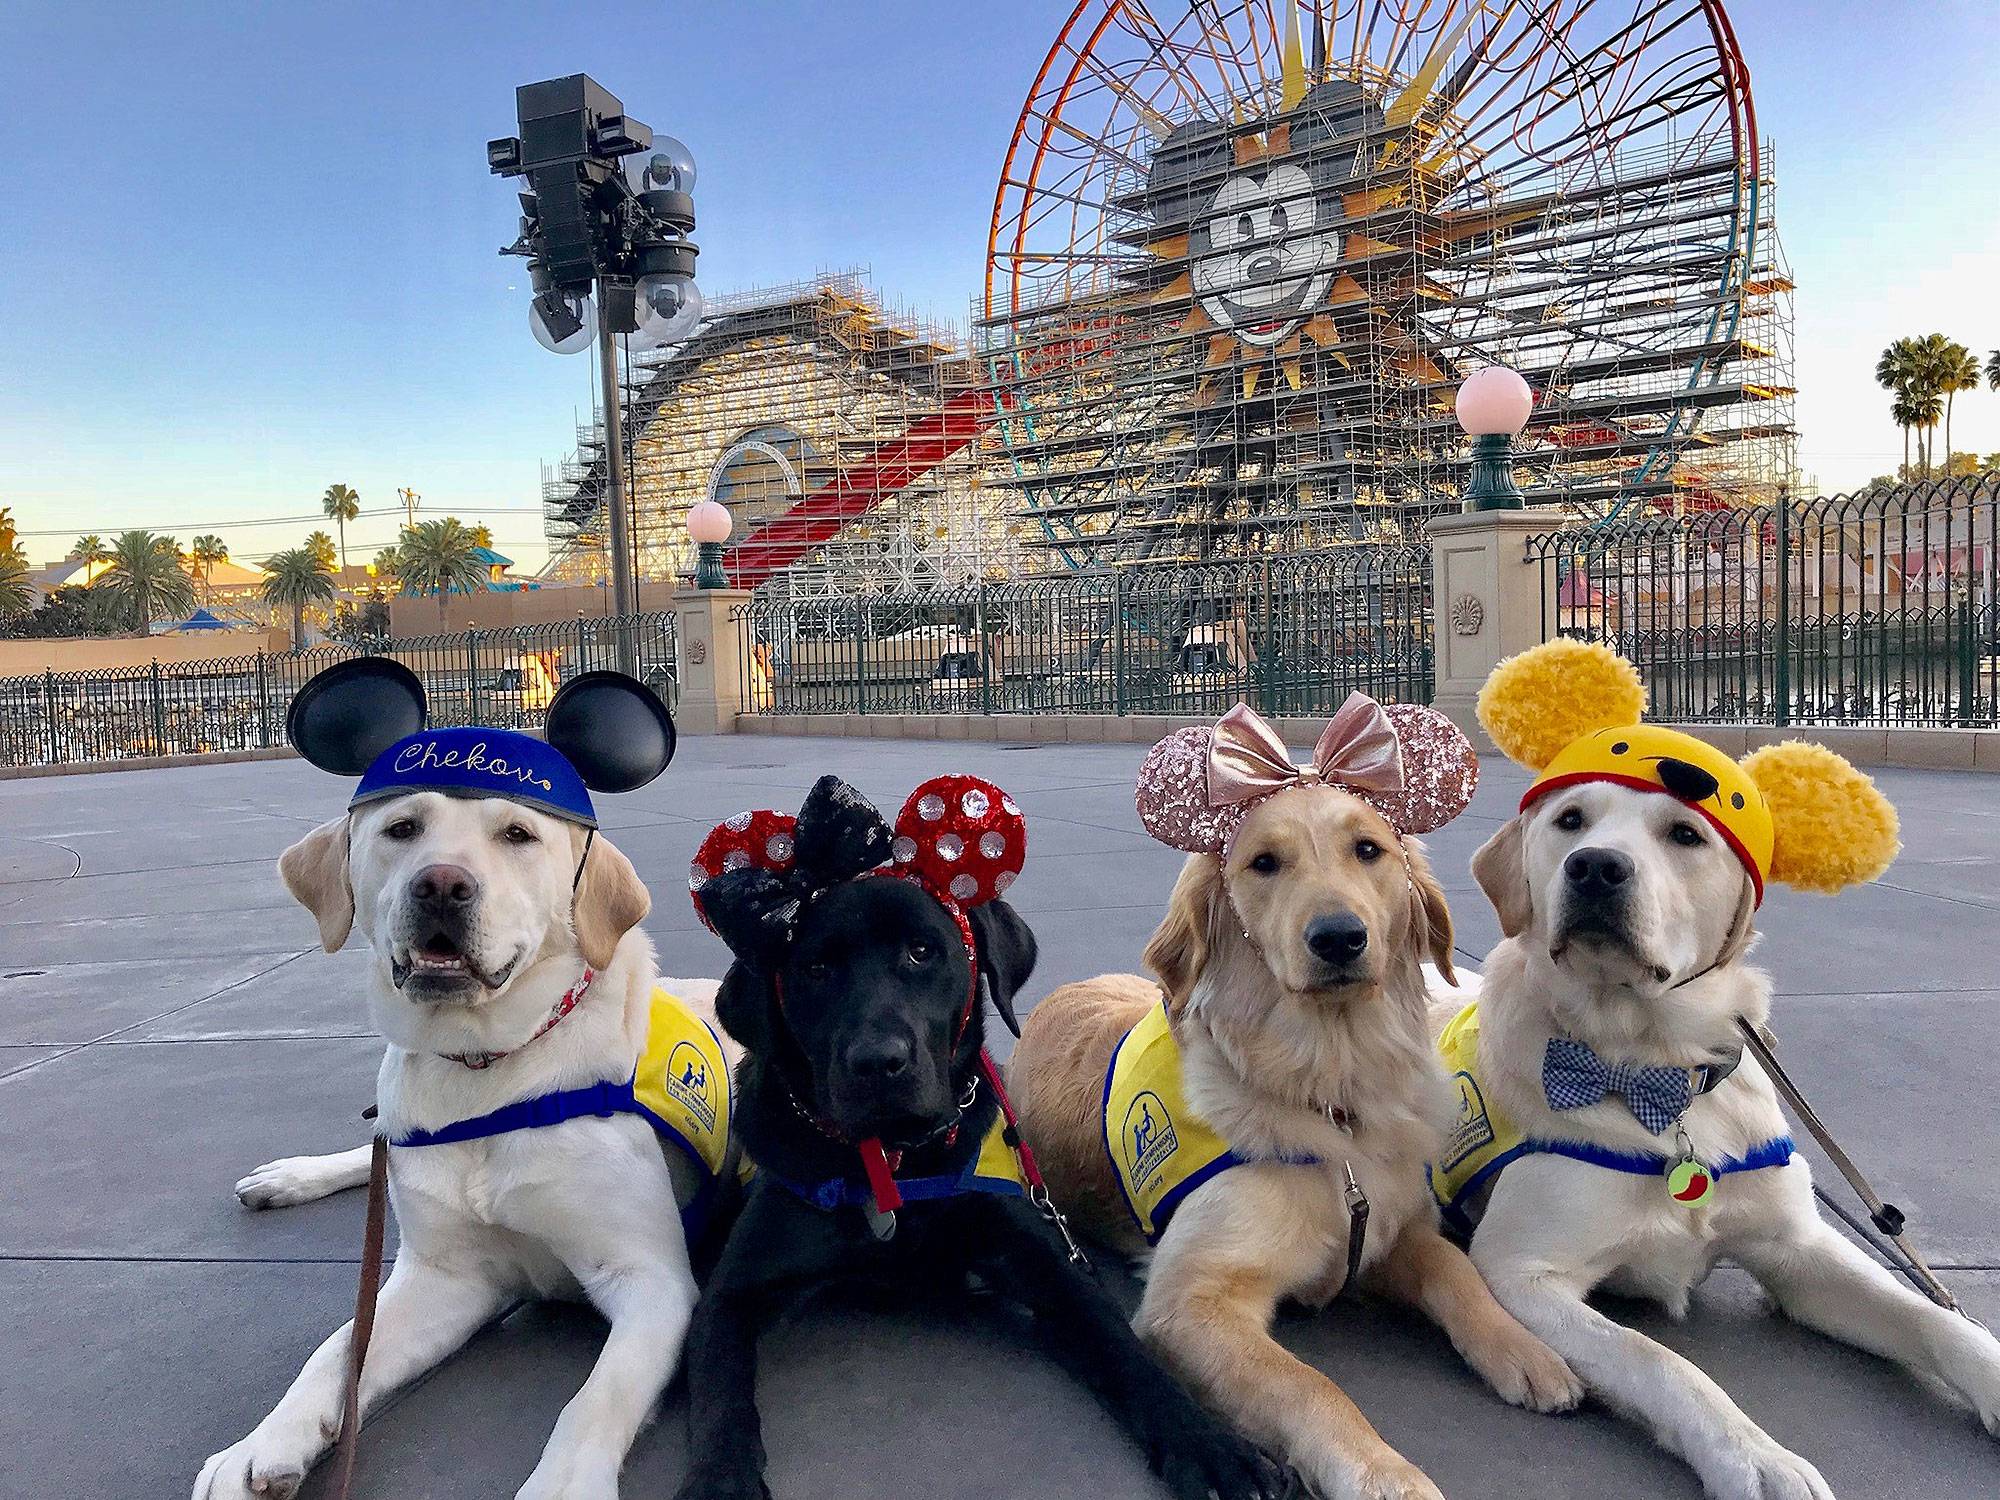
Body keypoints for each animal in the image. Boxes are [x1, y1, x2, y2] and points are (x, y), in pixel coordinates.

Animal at [680, 780, 1288, 1500]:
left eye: (922, 952)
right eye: (816, 968)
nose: (878, 1062)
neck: (898, 1165)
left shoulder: (1042, 1256)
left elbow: (1122, 1348)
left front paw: (1211, 1444)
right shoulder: (732, 1292)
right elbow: (719, 1397)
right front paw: (720, 1482)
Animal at [1016, 708, 1576, 1500]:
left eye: (1368, 850)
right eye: (1264, 863)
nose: (1339, 938)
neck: (1332, 1088)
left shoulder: (1391, 1233)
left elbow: (1457, 1273)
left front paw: (1524, 1350)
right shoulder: (1194, 1298)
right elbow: (1311, 1386)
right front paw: (1383, 1474)